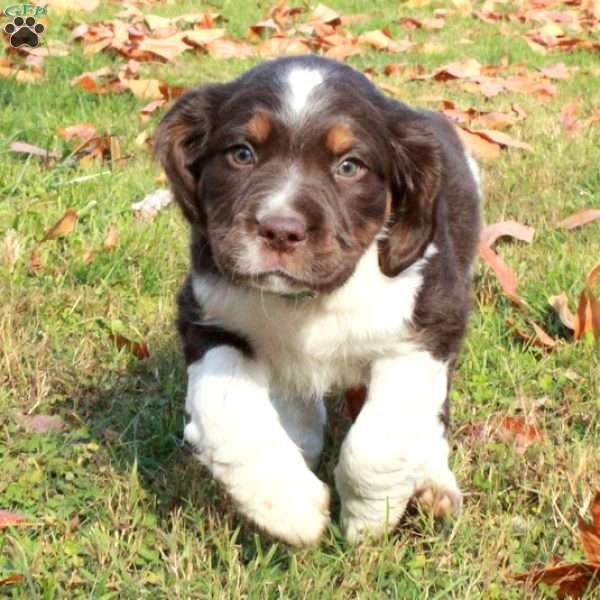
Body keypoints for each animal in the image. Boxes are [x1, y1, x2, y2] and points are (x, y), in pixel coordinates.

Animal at [156, 54, 482, 548]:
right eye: (242, 154)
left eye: (349, 166)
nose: (279, 230)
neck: (309, 301)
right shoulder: (210, 318)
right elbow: (227, 413)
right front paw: (291, 508)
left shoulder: (429, 325)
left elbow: (380, 441)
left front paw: (369, 517)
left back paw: (432, 482)